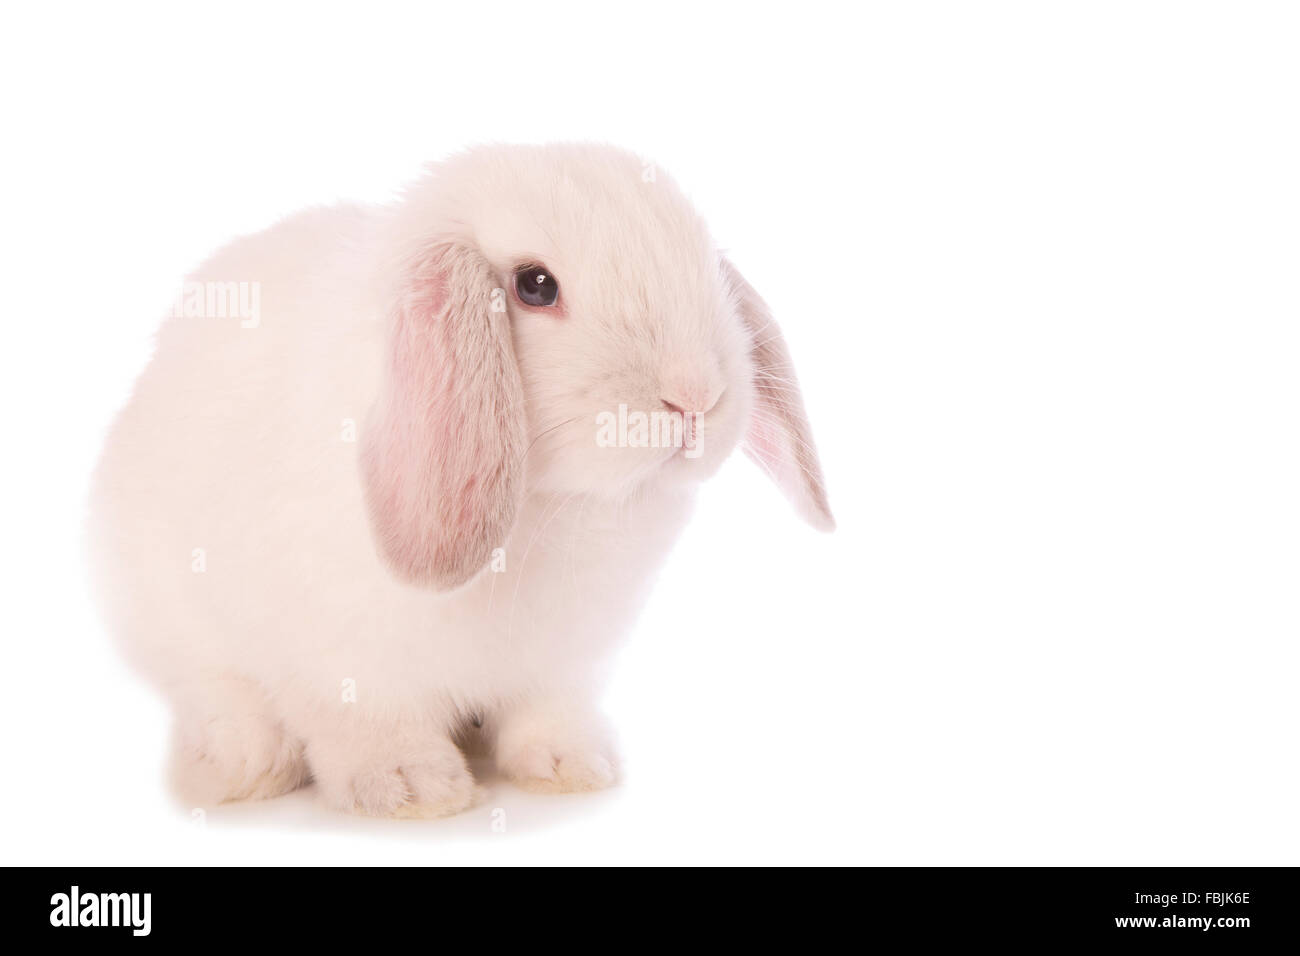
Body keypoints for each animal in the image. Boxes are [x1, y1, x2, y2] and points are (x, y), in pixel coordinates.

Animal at [88, 143, 834, 817]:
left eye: (709, 272)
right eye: (535, 286)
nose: (696, 397)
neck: (551, 504)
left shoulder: (563, 665)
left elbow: (546, 714)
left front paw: (572, 767)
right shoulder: (343, 662)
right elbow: (366, 725)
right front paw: (414, 788)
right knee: (216, 692)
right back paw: (237, 768)